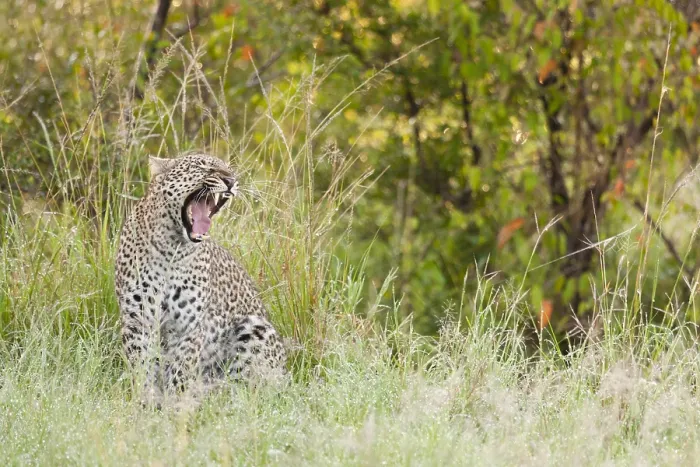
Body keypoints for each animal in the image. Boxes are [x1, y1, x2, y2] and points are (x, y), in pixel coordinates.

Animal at [115, 153, 286, 405]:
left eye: (229, 169)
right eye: (203, 166)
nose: (231, 180)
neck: (172, 249)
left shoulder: (190, 326)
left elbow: (180, 370)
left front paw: (174, 406)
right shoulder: (138, 320)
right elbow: (142, 367)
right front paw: (146, 401)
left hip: (256, 329)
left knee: (248, 388)